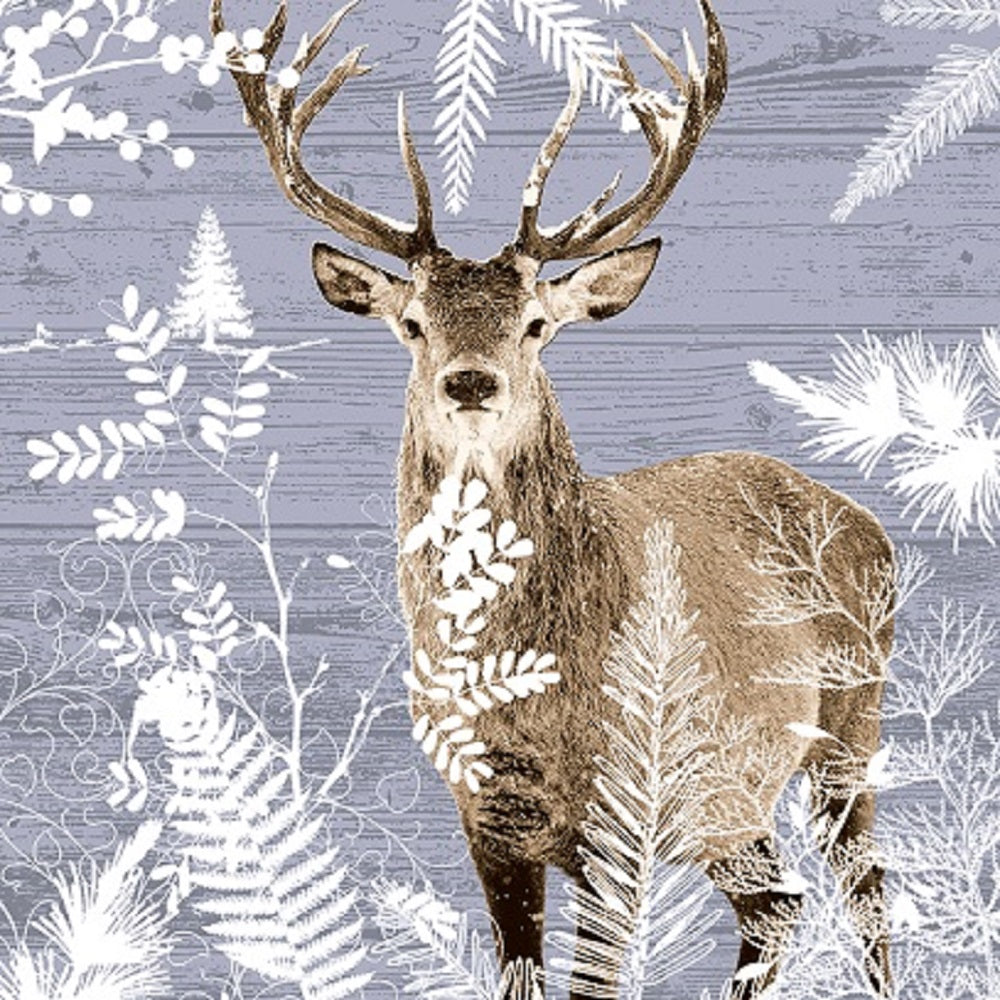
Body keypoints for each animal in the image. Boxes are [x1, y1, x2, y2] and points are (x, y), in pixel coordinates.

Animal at [210, 0, 894, 995]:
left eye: (536, 324)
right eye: (411, 322)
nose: (470, 381)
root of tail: (868, 520)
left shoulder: (621, 810)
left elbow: (593, 982)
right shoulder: (485, 815)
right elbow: (519, 974)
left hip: (850, 720)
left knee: (865, 892)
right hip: (731, 798)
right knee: (776, 901)